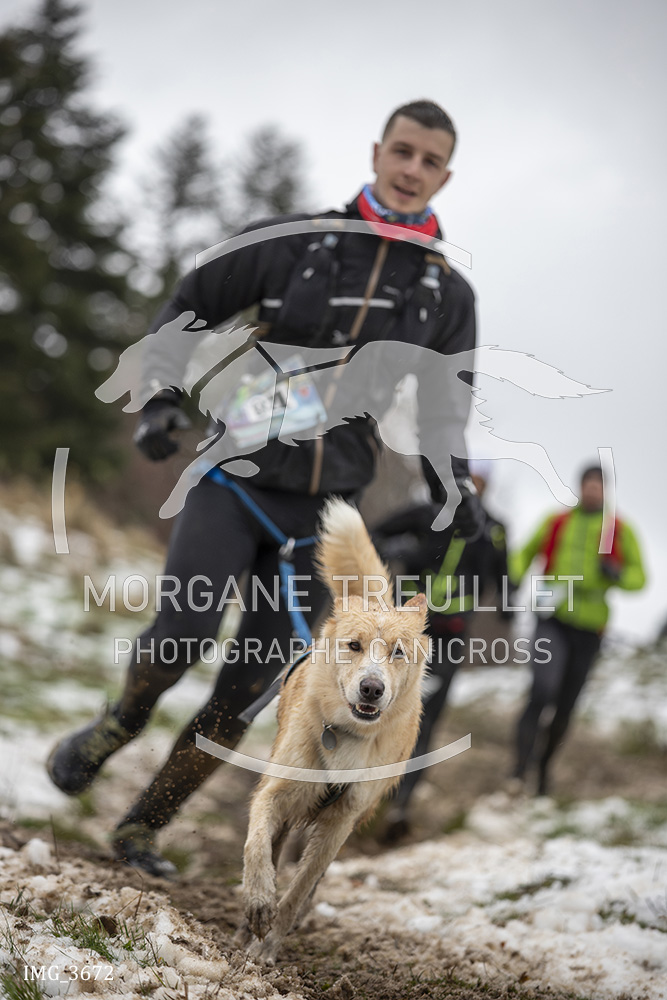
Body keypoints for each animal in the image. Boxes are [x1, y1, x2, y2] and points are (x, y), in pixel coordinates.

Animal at [235, 497, 429, 964]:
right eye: (354, 645)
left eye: (398, 652)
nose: (372, 688)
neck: (345, 734)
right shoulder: (274, 791)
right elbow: (256, 845)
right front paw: (258, 902)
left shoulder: (341, 822)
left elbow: (302, 886)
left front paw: (268, 945)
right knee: (272, 847)